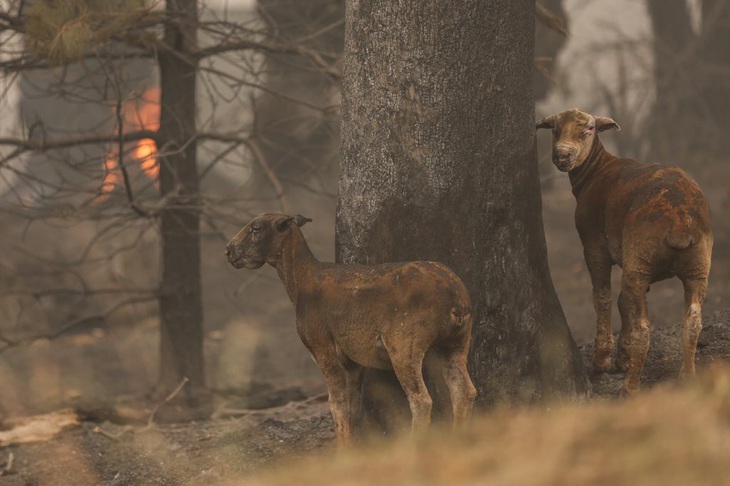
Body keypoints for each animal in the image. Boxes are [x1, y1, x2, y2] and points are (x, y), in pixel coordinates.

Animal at [225, 211, 474, 446]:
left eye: (256, 228)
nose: (228, 250)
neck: (301, 282)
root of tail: (454, 298)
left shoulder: (323, 348)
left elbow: (337, 403)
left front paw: (342, 450)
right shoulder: (354, 362)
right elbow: (353, 405)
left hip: (405, 346)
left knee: (421, 400)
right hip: (456, 343)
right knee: (464, 391)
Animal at [536, 108, 712, 396]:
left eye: (588, 131)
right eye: (554, 129)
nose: (562, 155)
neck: (596, 170)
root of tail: (679, 224)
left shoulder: (594, 244)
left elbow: (603, 297)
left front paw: (604, 360)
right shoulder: (631, 260)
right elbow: (623, 301)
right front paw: (623, 356)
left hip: (641, 259)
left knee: (644, 328)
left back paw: (630, 387)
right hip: (696, 264)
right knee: (692, 321)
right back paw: (687, 378)